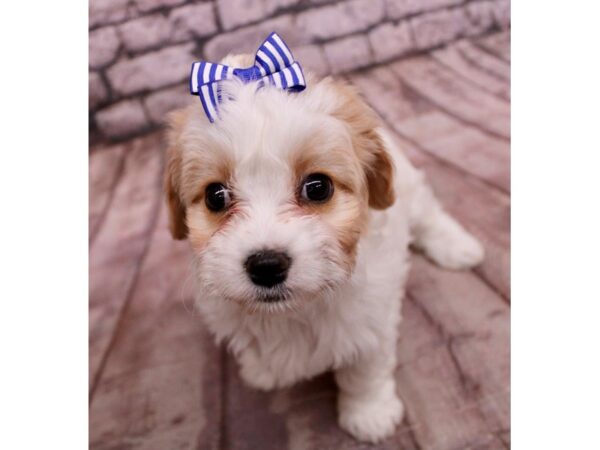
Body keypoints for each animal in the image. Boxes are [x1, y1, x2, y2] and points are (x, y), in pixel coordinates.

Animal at [166, 53, 486, 442]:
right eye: (216, 196)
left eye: (318, 187)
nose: (267, 265)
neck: (293, 312)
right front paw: (261, 369)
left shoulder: (371, 320)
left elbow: (365, 369)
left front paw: (369, 413)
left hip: (409, 188)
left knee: (429, 215)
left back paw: (457, 246)